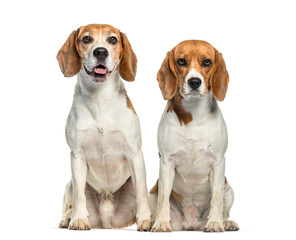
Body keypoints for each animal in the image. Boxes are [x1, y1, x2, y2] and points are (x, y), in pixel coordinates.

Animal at [57, 23, 151, 231]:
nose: (100, 51)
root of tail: (106, 221)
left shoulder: (135, 154)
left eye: (112, 40)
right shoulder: (77, 156)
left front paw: (146, 220)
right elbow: (79, 197)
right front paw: (78, 219)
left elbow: (142, 194)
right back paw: (68, 218)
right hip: (69, 185)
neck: (99, 98)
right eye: (86, 39)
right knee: (71, 199)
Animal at [149, 40, 239, 232]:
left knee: (224, 208)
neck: (195, 114)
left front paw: (215, 223)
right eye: (181, 61)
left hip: (229, 189)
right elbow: (163, 199)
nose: (194, 82)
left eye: (207, 62)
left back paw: (226, 222)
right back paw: (148, 223)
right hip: (152, 191)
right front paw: (161, 223)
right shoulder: (167, 162)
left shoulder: (218, 162)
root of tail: (192, 223)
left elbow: (216, 197)